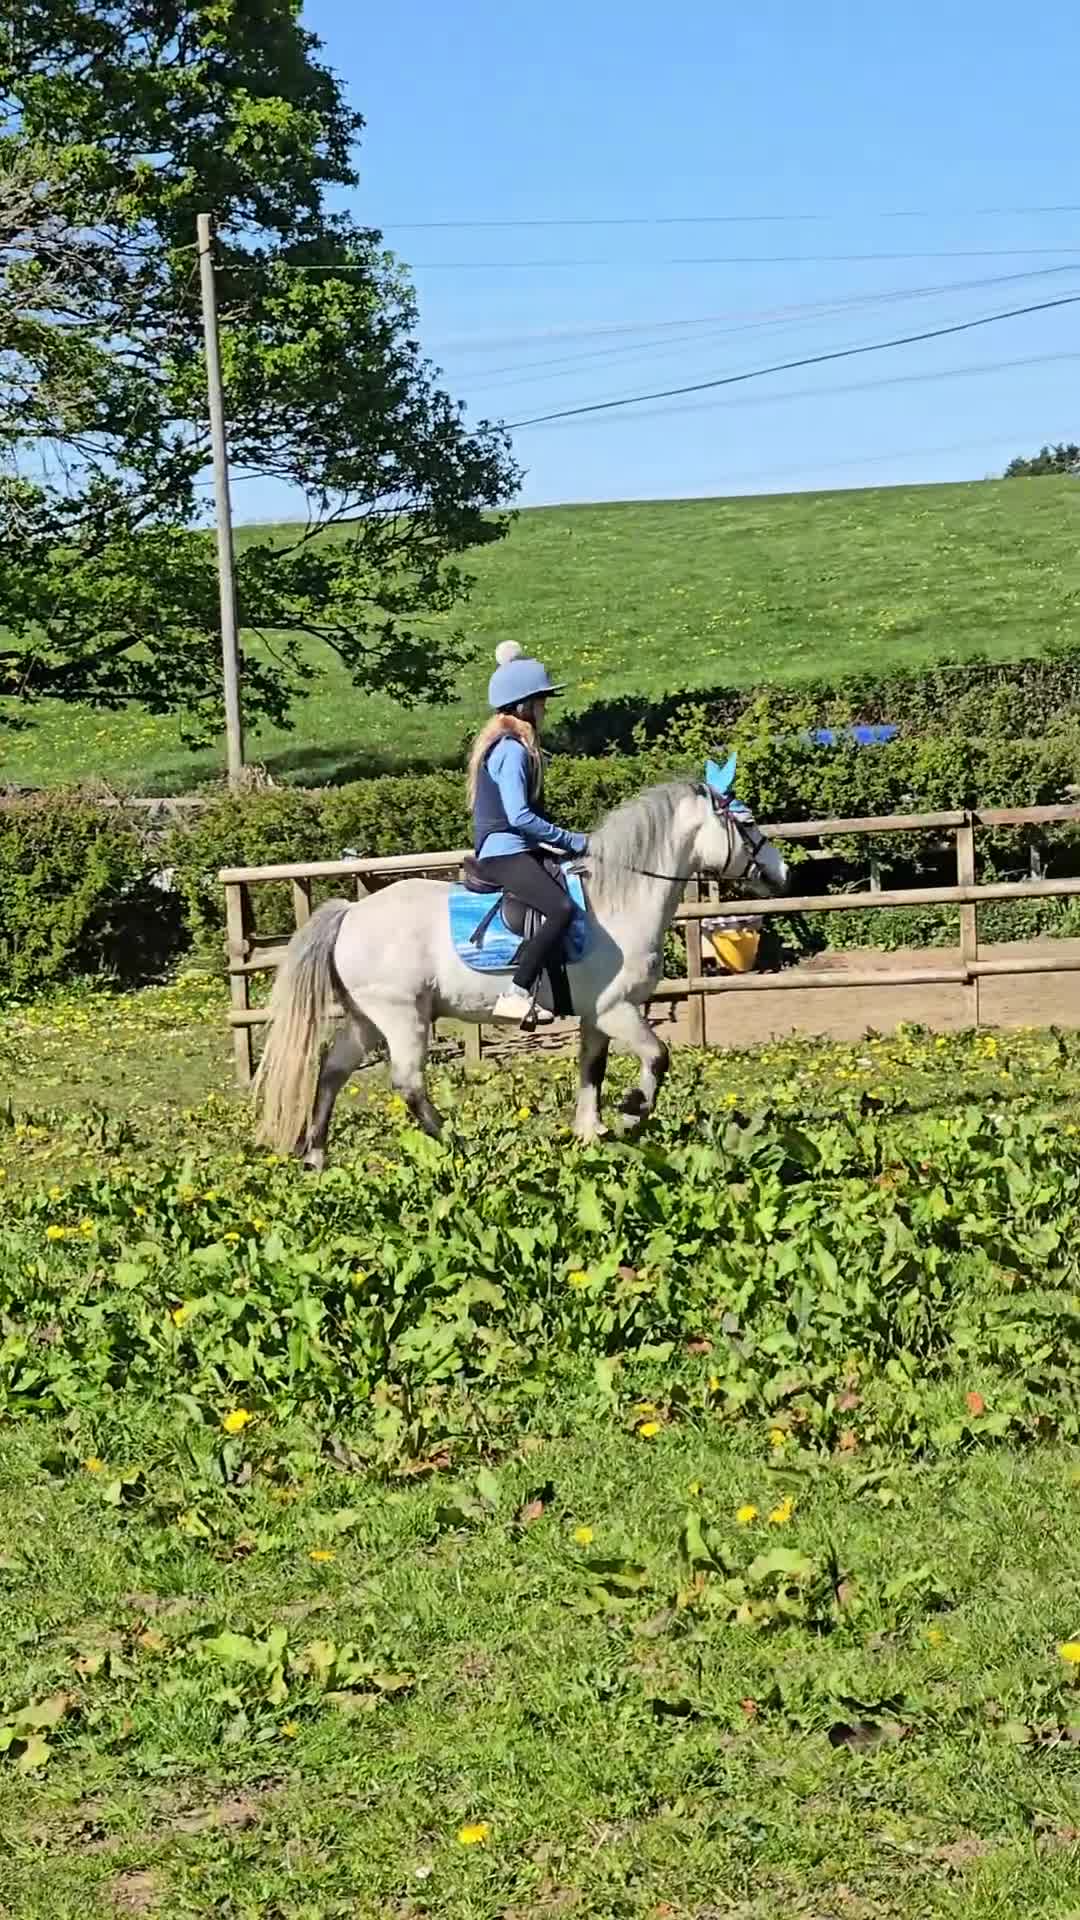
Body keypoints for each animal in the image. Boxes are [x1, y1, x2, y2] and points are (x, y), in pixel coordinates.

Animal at [253, 767, 789, 1169]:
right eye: (748, 823)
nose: (782, 873)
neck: (619, 900)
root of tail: (350, 914)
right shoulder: (616, 1009)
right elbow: (658, 1057)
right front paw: (633, 1111)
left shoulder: (596, 1016)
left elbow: (592, 1069)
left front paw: (590, 1132)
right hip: (403, 1017)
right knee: (406, 1082)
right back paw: (455, 1145)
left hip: (367, 1019)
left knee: (331, 1071)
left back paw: (316, 1157)